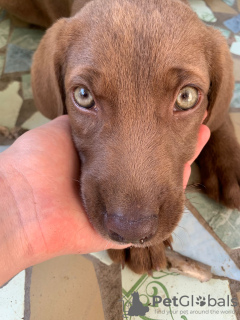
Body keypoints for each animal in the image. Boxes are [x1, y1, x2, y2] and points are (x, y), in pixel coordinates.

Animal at [2, 0, 240, 274]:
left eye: (186, 97)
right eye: (83, 95)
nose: (132, 231)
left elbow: (219, 114)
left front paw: (228, 162)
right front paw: (141, 249)